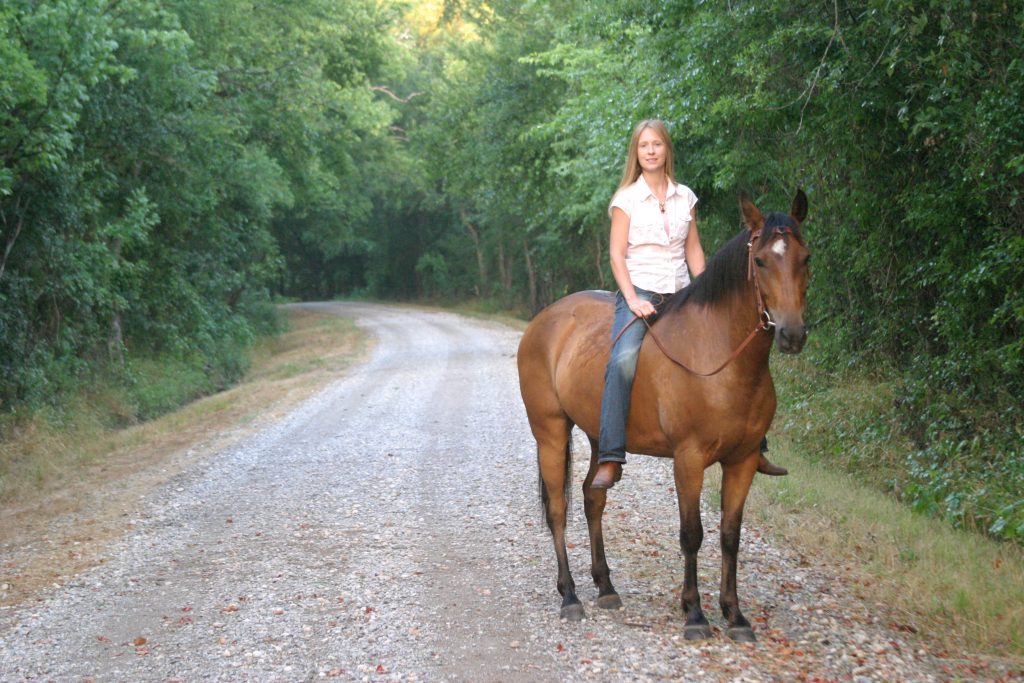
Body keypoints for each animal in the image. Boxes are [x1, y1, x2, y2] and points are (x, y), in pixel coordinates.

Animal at [516, 190, 810, 641]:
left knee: (593, 497)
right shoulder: (688, 459)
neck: (718, 356)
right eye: (760, 261)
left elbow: (730, 535)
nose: (792, 335)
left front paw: (735, 615)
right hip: (550, 432)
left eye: (805, 258)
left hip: (600, 437)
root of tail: (542, 321)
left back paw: (605, 586)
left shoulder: (741, 462)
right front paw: (695, 614)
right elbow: (692, 534)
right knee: (558, 510)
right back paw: (570, 596)